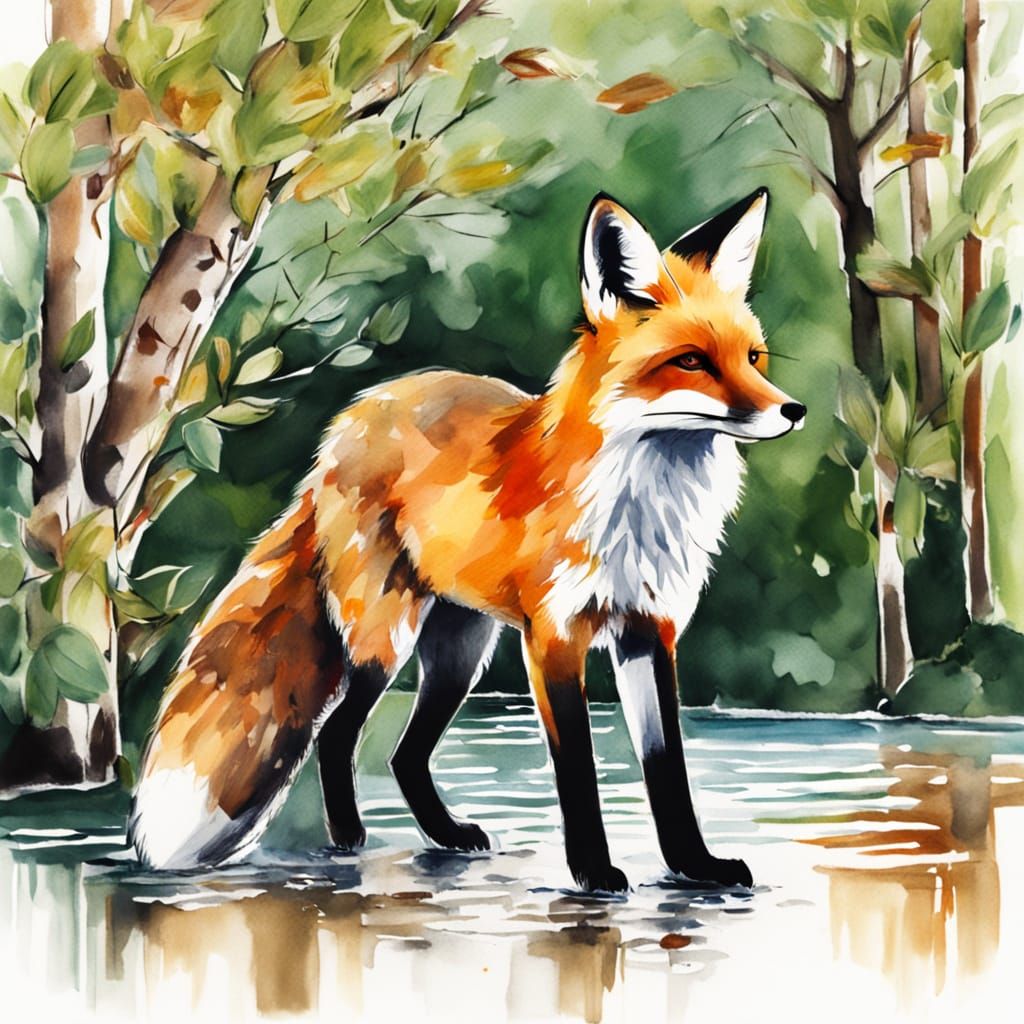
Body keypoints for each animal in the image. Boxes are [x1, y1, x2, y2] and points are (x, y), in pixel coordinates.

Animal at [130, 188, 805, 893]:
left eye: (753, 358)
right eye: (692, 361)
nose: (793, 410)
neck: (640, 506)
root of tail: (345, 428)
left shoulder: (650, 631)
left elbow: (666, 767)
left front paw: (694, 866)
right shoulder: (554, 638)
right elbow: (578, 771)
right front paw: (594, 872)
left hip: (460, 651)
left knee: (403, 755)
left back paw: (445, 835)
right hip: (388, 636)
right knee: (336, 735)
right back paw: (347, 842)